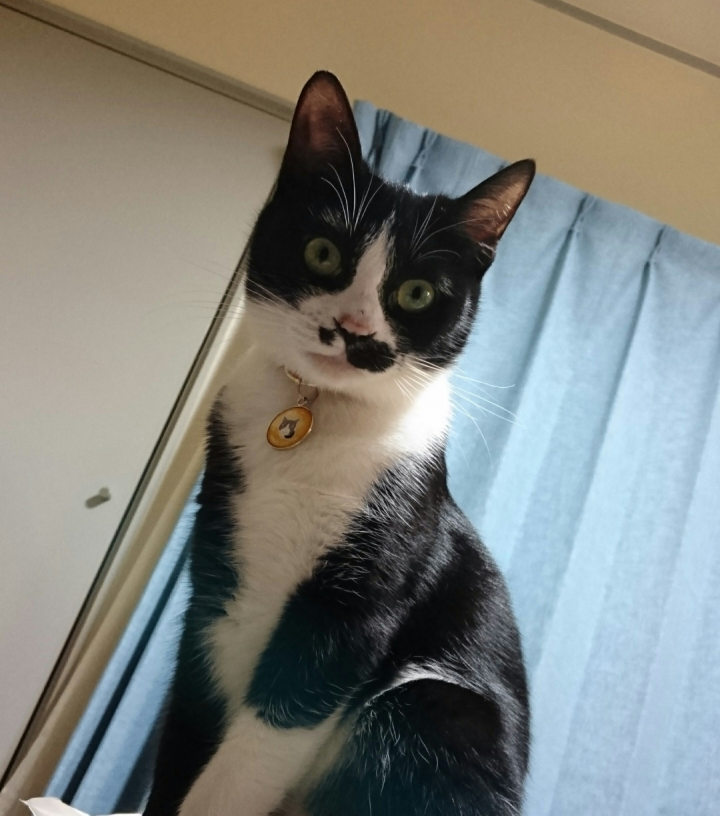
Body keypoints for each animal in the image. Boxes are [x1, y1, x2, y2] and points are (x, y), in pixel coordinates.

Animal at [144, 71, 535, 816]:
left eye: (417, 293)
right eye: (323, 252)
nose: (352, 330)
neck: (314, 420)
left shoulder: (361, 605)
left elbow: (254, 753)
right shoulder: (215, 583)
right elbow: (189, 724)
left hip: (430, 705)